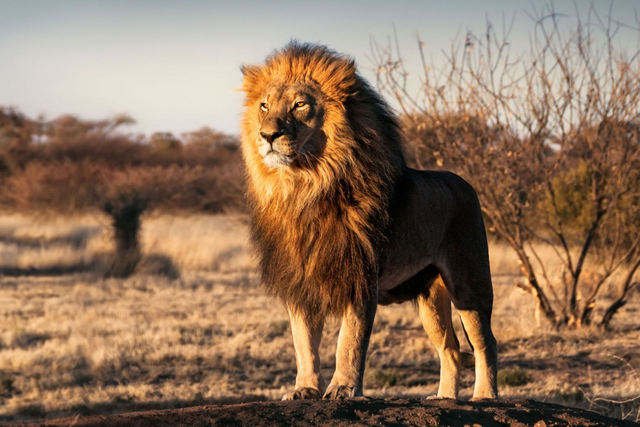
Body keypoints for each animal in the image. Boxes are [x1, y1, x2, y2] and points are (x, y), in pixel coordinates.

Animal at [239, 42, 498, 401]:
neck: (305, 187)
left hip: (469, 284)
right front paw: (305, 389)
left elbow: (349, 341)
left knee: (485, 342)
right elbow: (303, 342)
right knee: (450, 347)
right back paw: (444, 398)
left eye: (300, 104)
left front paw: (343, 389)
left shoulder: (361, 275)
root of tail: (465, 183)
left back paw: (485, 396)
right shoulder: (300, 281)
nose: (267, 135)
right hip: (430, 298)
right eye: (264, 106)